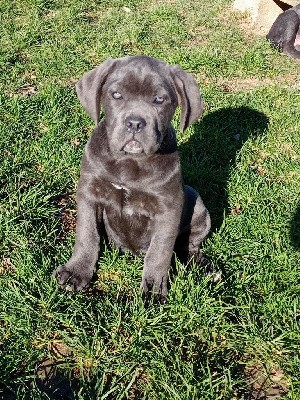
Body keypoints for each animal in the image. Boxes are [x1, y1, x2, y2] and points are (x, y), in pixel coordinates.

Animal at [55, 56, 211, 300]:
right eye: (117, 94)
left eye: (159, 99)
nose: (135, 123)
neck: (129, 161)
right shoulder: (89, 194)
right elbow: (87, 235)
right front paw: (76, 272)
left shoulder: (168, 208)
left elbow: (160, 251)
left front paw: (154, 288)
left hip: (196, 202)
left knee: (189, 244)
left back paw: (202, 264)